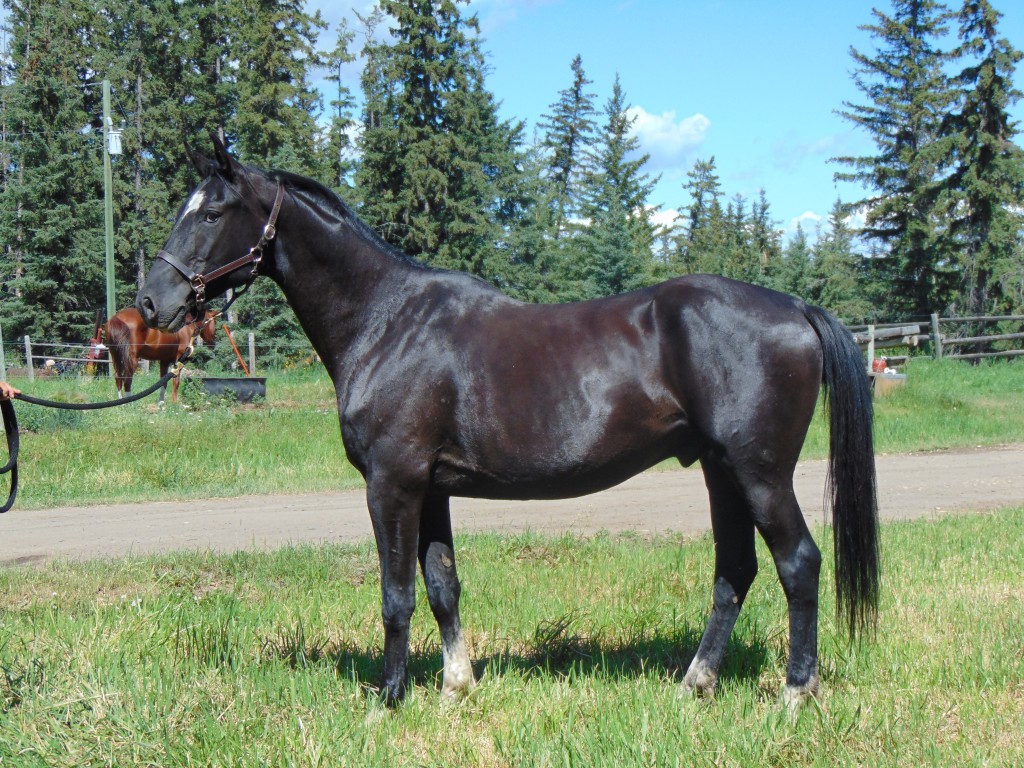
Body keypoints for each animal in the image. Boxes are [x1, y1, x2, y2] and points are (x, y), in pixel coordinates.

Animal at [137, 137, 878, 709]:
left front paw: (389, 700)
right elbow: (442, 585)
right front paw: (455, 687)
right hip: (721, 472)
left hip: (760, 474)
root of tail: (795, 308)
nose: (151, 302)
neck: (386, 321)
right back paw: (694, 684)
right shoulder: (431, 488)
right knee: (735, 571)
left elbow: (397, 594)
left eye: (214, 212)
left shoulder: (391, 483)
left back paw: (794, 694)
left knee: (798, 563)